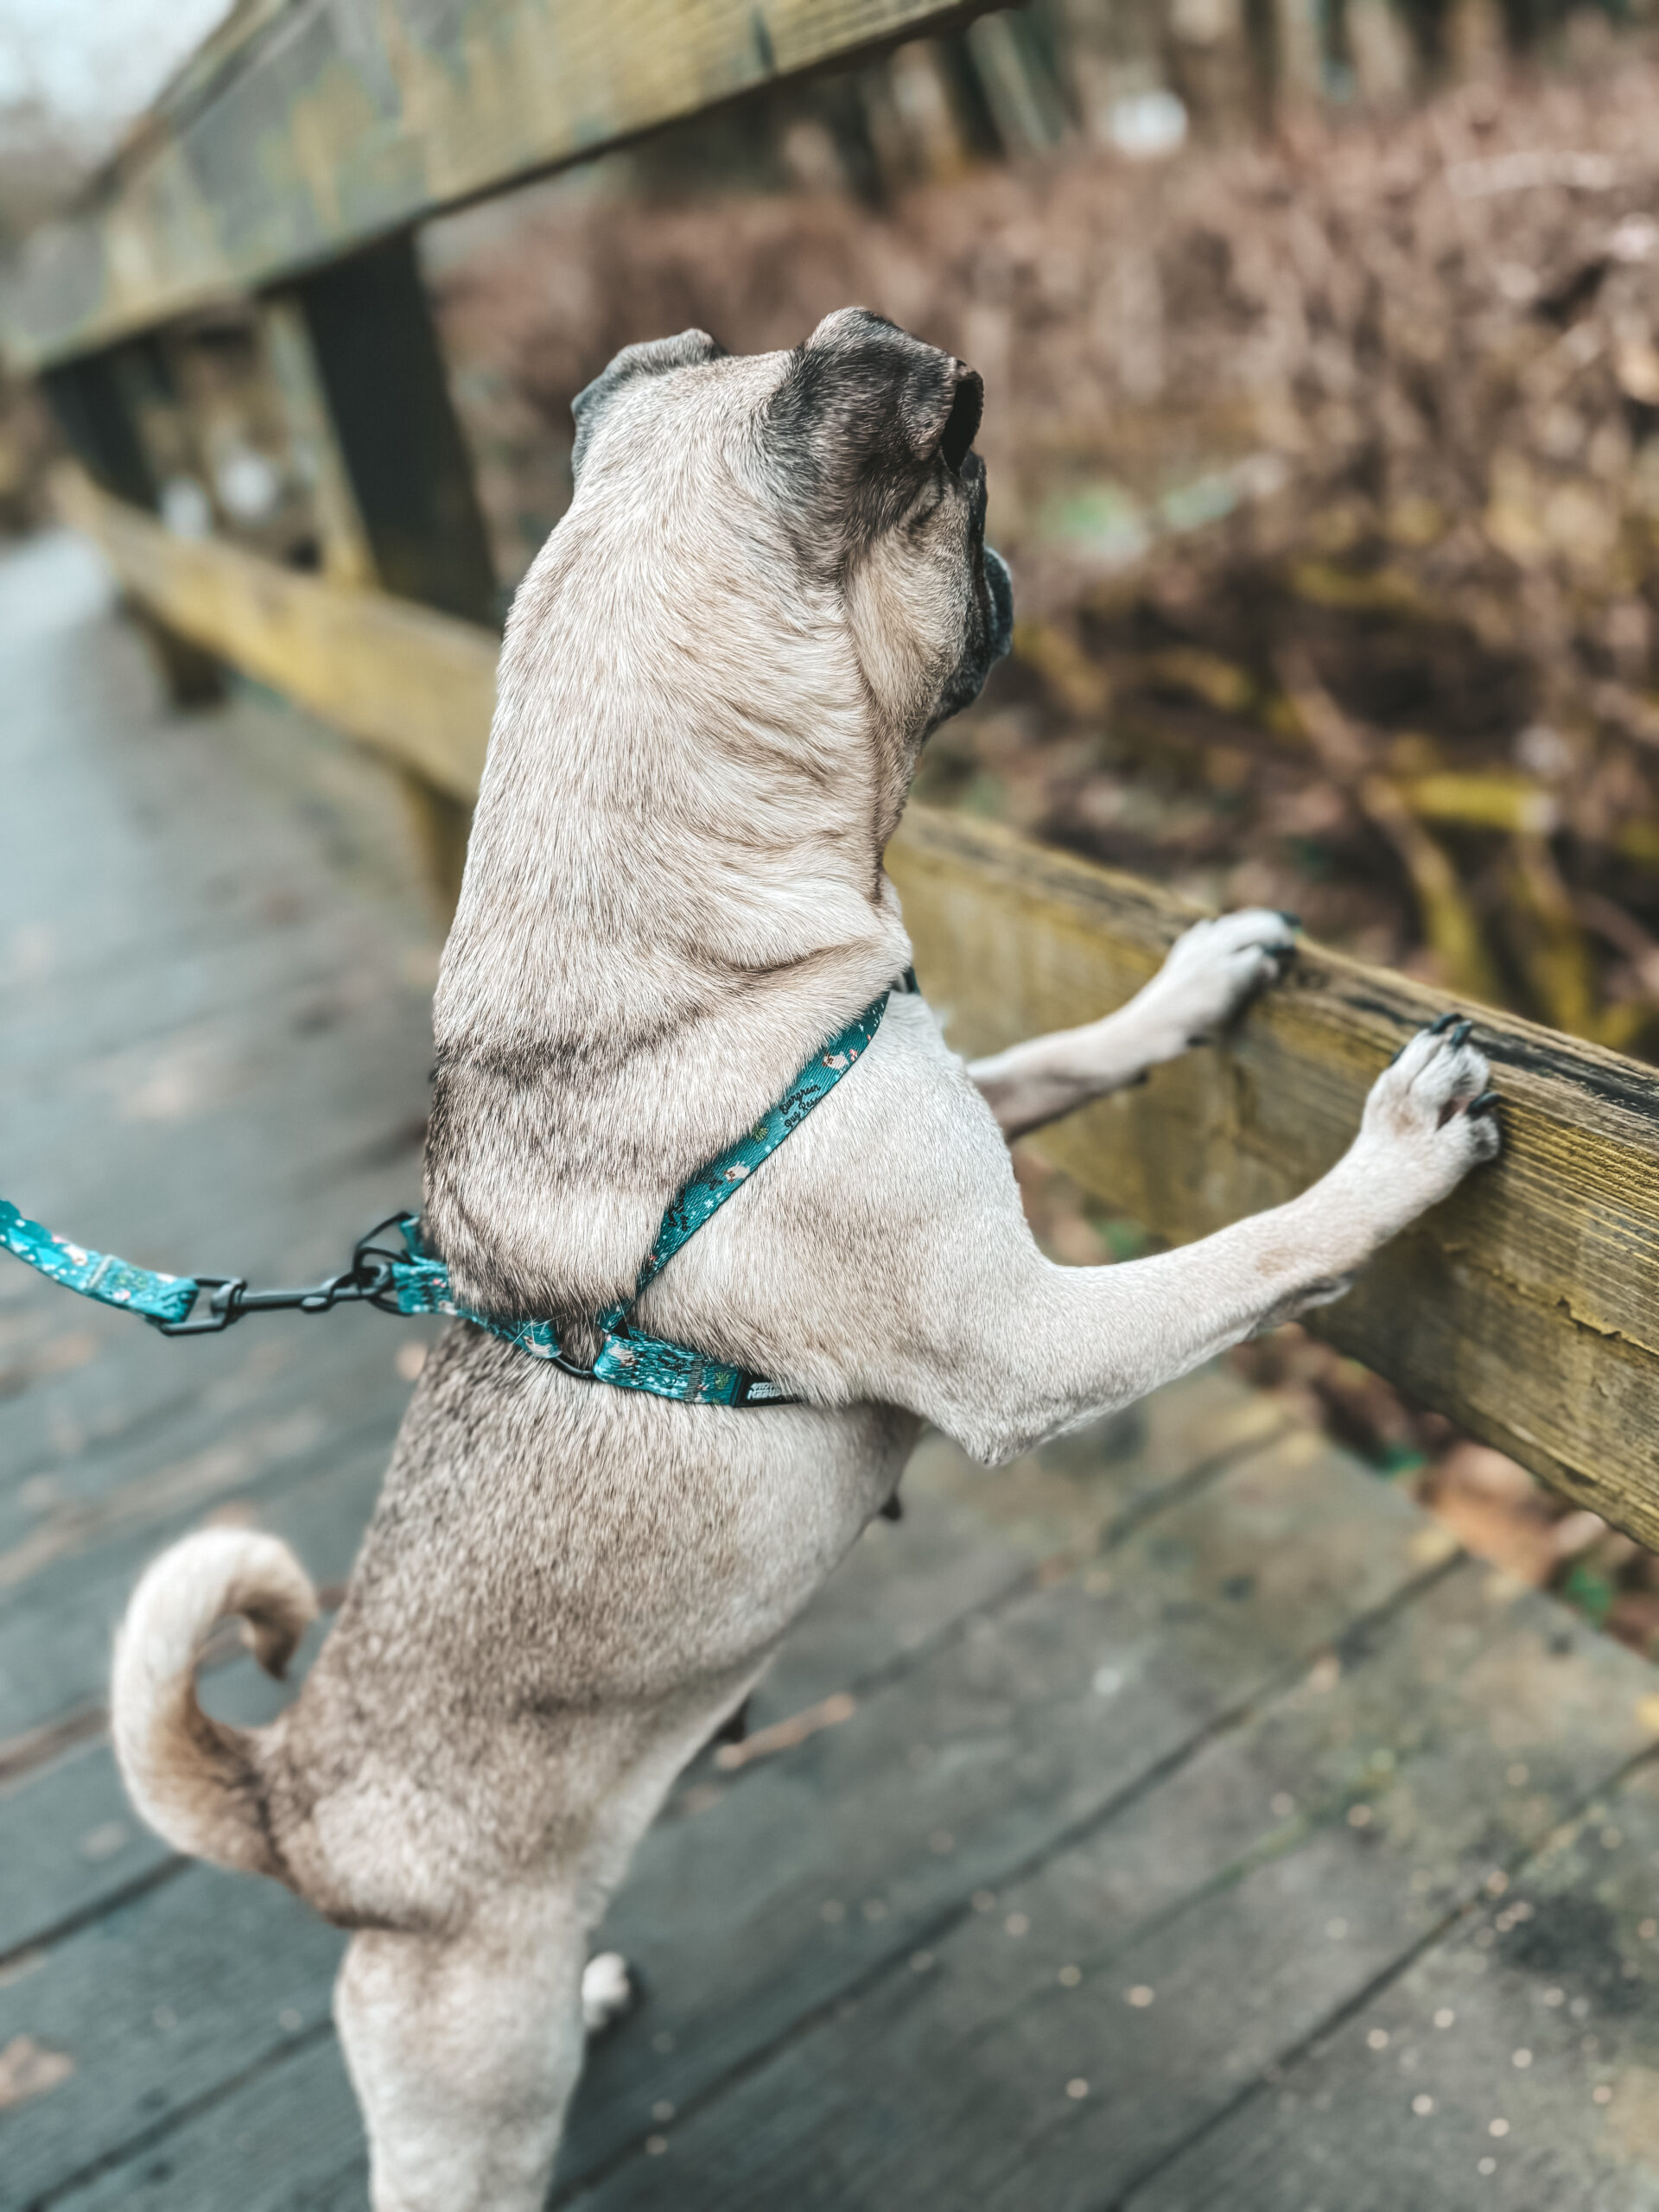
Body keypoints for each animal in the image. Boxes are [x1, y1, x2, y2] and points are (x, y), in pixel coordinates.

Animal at [111, 309, 1499, 2211]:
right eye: (965, 487)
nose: (1011, 559)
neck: (686, 941)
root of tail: (294, 1802)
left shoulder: (956, 1098)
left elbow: (1062, 1055)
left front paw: (1194, 983)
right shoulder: (1026, 1345)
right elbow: (1254, 1252)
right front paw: (1396, 1150)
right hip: (470, 2073)